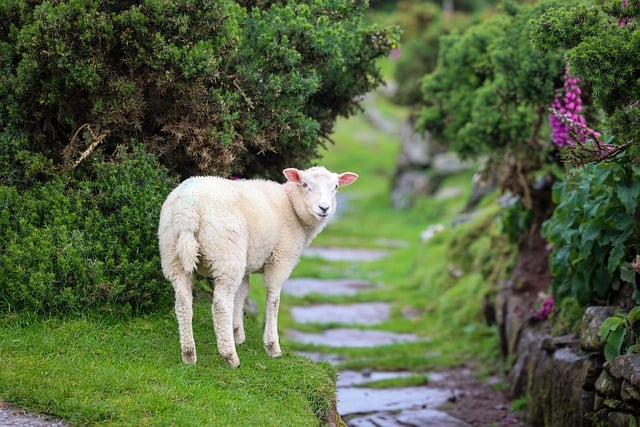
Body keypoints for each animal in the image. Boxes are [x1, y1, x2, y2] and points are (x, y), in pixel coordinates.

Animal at [158, 166, 358, 367]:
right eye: (304, 184)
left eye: (335, 187)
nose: (324, 208)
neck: (292, 207)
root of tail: (188, 209)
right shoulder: (281, 259)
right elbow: (273, 300)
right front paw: (272, 346)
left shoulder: (246, 264)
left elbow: (242, 294)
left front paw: (237, 333)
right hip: (227, 254)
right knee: (221, 305)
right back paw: (230, 356)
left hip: (172, 253)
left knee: (183, 302)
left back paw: (189, 354)